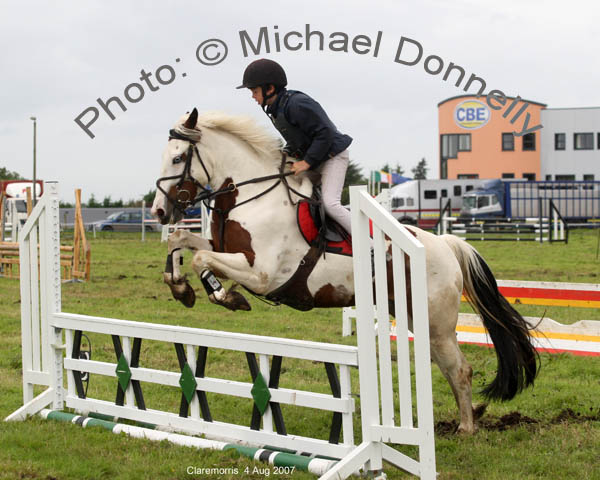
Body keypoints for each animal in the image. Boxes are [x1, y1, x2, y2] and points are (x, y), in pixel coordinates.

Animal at [150, 109, 540, 436]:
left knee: (459, 369)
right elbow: (181, 241)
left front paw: (225, 296)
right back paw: (468, 419)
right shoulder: (225, 248)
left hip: (436, 323)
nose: (158, 211)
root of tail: (444, 244)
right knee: (447, 365)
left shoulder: (262, 274)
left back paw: (466, 428)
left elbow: (202, 260)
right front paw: (179, 286)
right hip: (414, 317)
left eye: (178, 158)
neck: (253, 196)